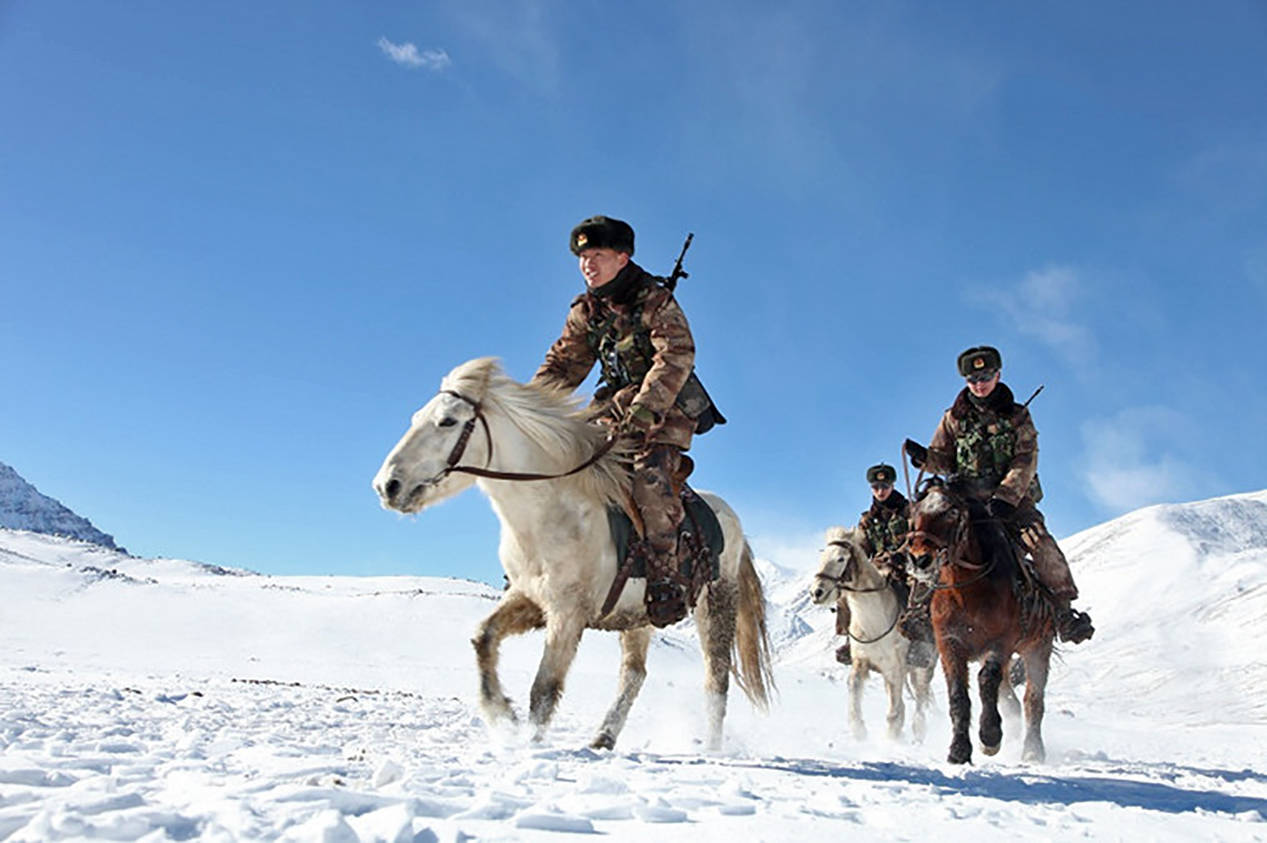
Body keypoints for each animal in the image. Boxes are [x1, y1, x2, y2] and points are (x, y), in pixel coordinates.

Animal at [369, 357, 775, 750]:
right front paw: (501, 713)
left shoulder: (568, 612)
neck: (547, 511)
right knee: (634, 673)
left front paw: (531, 746)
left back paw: (711, 749)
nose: (387, 486)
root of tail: (731, 519)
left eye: (448, 421)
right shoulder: (531, 598)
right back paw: (603, 738)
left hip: (716, 605)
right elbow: (483, 637)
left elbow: (544, 687)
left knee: (716, 677)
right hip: (639, 617)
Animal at [805, 527, 937, 745]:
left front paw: (892, 738)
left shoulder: (894, 668)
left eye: (841, 559)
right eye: (822, 557)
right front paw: (858, 729)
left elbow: (894, 710)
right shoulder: (861, 662)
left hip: (924, 666)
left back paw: (918, 731)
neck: (874, 621)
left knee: (920, 695)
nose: (817, 592)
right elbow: (854, 686)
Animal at [907, 479, 1054, 760]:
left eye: (952, 512)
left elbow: (987, 681)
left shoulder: (1000, 642)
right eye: (915, 513)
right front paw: (959, 750)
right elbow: (958, 695)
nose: (920, 559)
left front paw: (990, 737)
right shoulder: (949, 643)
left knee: (1033, 700)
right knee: (1010, 698)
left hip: (1038, 648)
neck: (968, 590)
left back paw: (1032, 750)